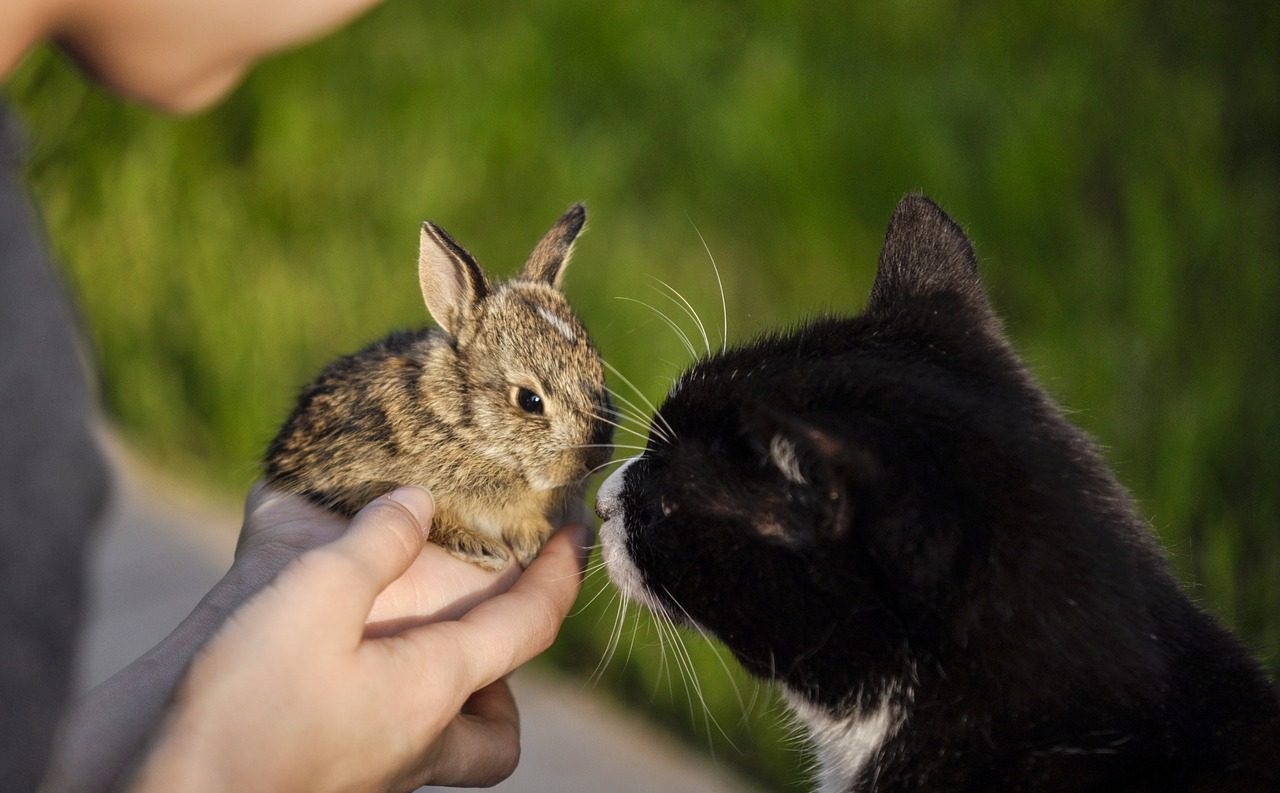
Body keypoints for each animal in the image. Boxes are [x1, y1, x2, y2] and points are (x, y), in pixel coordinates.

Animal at [262, 205, 611, 570]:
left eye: (599, 372)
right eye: (529, 400)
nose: (596, 458)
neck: (462, 429)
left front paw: (532, 537)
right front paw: (481, 547)